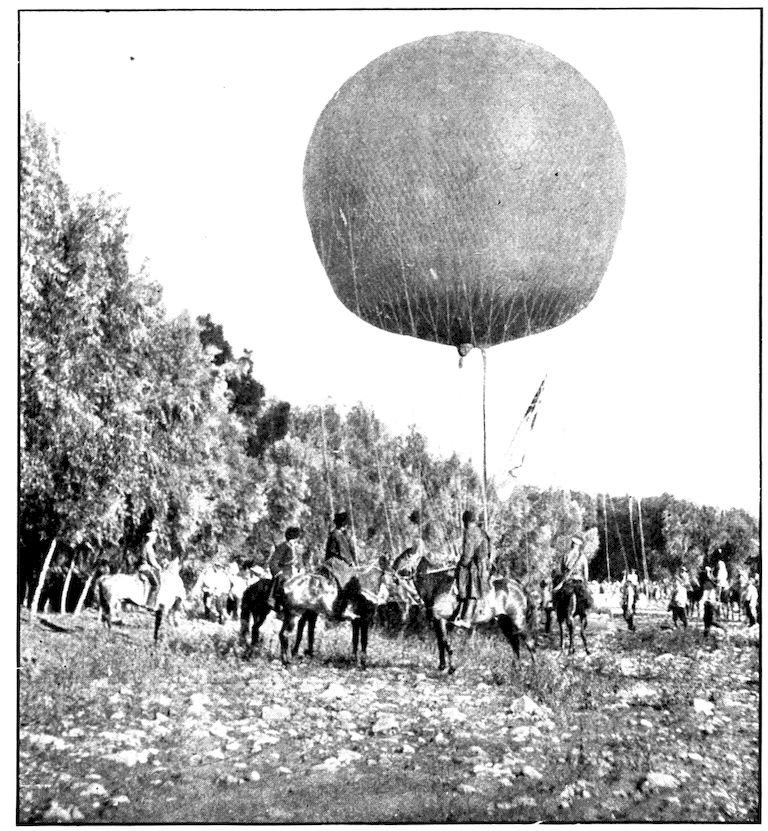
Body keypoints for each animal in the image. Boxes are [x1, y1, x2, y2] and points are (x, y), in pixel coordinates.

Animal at [401, 556, 535, 674]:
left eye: (405, 558)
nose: (397, 573)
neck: (437, 585)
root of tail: (519, 586)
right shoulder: (444, 623)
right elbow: (442, 643)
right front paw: (443, 666)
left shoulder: (441, 620)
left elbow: (445, 643)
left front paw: (451, 668)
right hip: (504, 622)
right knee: (515, 644)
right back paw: (517, 669)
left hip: (518, 621)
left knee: (530, 643)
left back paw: (535, 670)